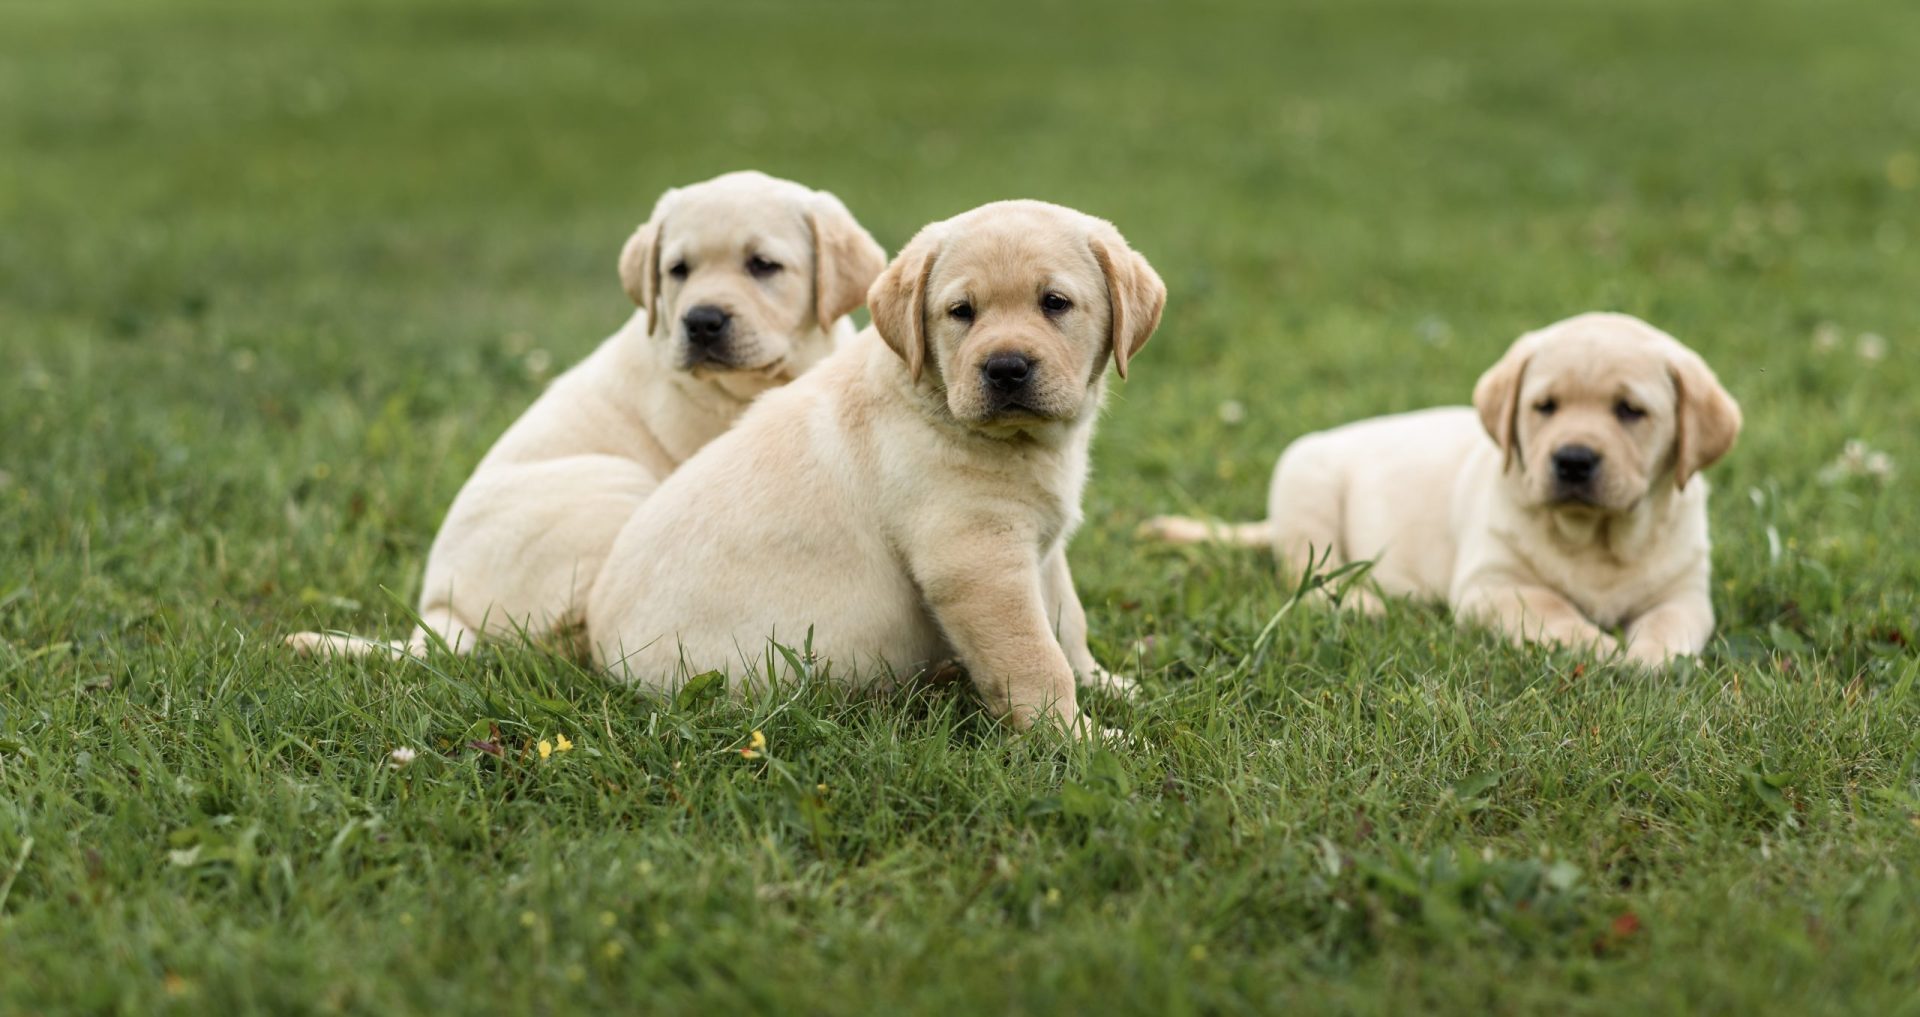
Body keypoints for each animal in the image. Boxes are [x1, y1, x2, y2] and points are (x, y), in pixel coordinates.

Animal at [583, 197, 1159, 733]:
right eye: (961, 311)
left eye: (1055, 303)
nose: (1005, 368)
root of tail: (600, 656)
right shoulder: (977, 562)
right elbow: (1035, 659)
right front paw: (1080, 739)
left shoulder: (1042, 545)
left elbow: (1067, 625)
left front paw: (1110, 685)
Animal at [1144, 316, 1751, 663]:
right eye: (1545, 407)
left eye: (1630, 411)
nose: (1573, 459)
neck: (1596, 538)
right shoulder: (1493, 586)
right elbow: (1551, 607)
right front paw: (1599, 646)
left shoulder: (1686, 593)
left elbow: (1671, 625)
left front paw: (1647, 657)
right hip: (1304, 484)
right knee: (1309, 576)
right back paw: (1363, 602)